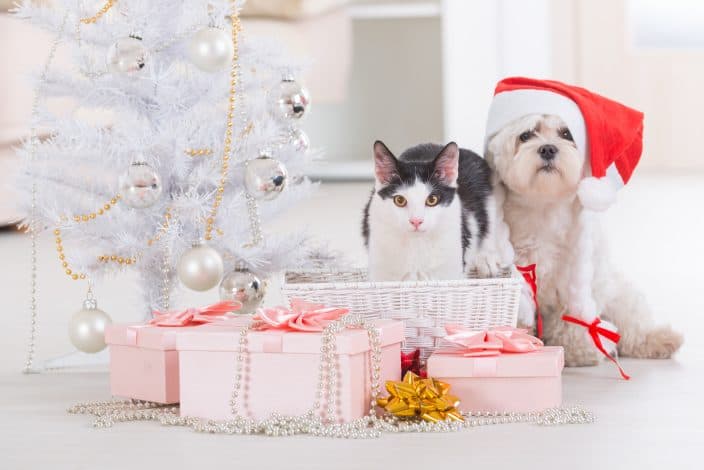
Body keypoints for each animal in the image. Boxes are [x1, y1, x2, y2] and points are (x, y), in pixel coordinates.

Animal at [490, 114, 680, 368]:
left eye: (566, 134)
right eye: (526, 135)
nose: (548, 148)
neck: (544, 204)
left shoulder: (572, 278)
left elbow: (571, 317)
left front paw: (578, 350)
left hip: (620, 296)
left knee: (634, 327)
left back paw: (659, 340)